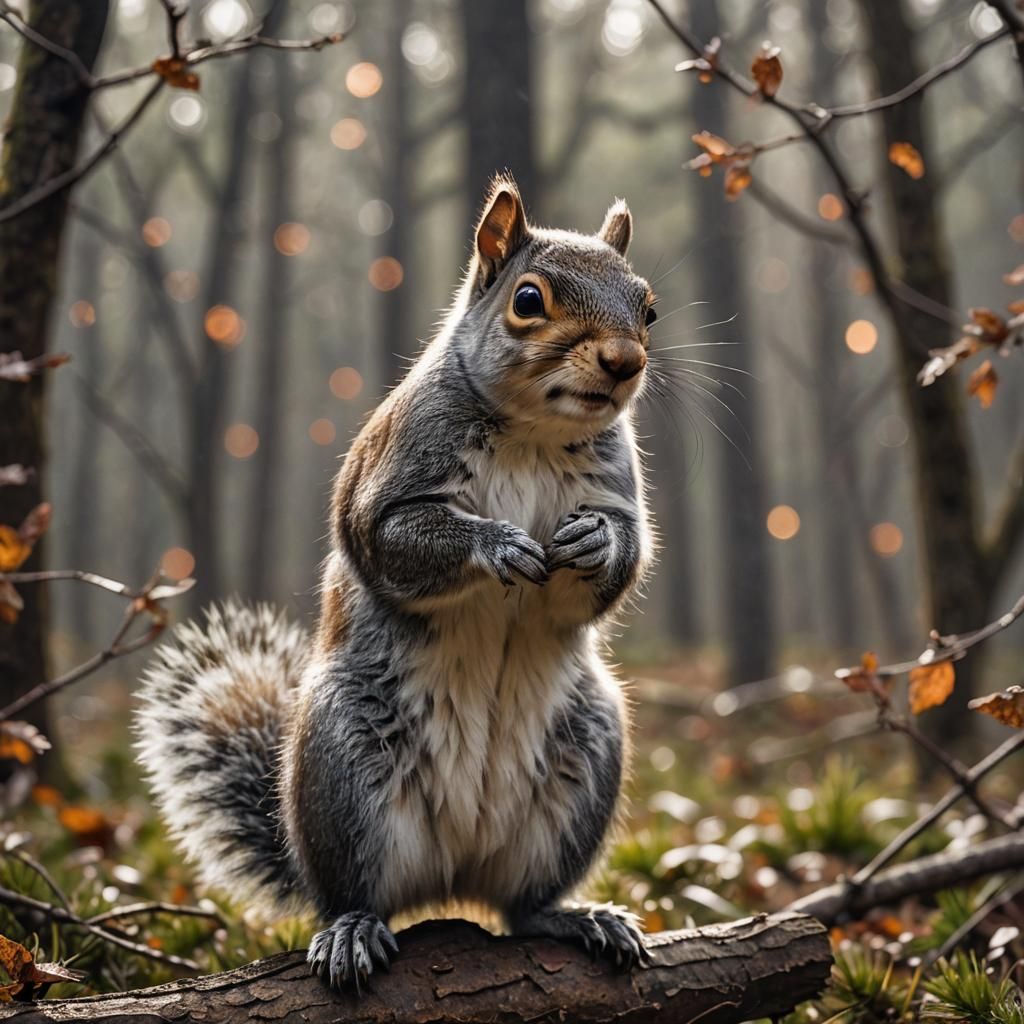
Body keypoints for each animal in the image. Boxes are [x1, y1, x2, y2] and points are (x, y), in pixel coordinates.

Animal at [135, 176, 656, 991]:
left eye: (648, 307)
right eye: (529, 300)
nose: (625, 362)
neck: (533, 434)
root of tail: (453, 875)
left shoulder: (616, 488)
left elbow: (623, 559)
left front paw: (594, 544)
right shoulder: (389, 478)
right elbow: (390, 539)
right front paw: (497, 544)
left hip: (586, 760)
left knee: (523, 906)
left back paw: (576, 917)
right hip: (344, 766)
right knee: (351, 890)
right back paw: (352, 928)